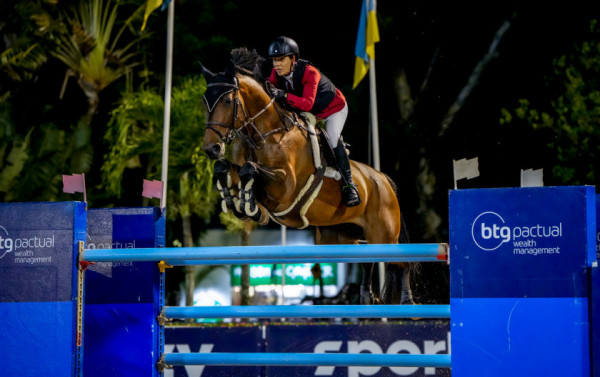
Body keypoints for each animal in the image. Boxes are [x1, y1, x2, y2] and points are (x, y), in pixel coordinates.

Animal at [199, 50, 414, 304]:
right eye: (204, 101)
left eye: (227, 101)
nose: (211, 148)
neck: (266, 133)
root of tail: (383, 179)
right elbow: (225, 167)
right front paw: (237, 203)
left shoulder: (285, 188)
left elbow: (249, 170)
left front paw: (249, 206)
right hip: (340, 236)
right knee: (367, 261)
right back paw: (366, 297)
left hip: (384, 234)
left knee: (400, 263)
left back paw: (407, 301)